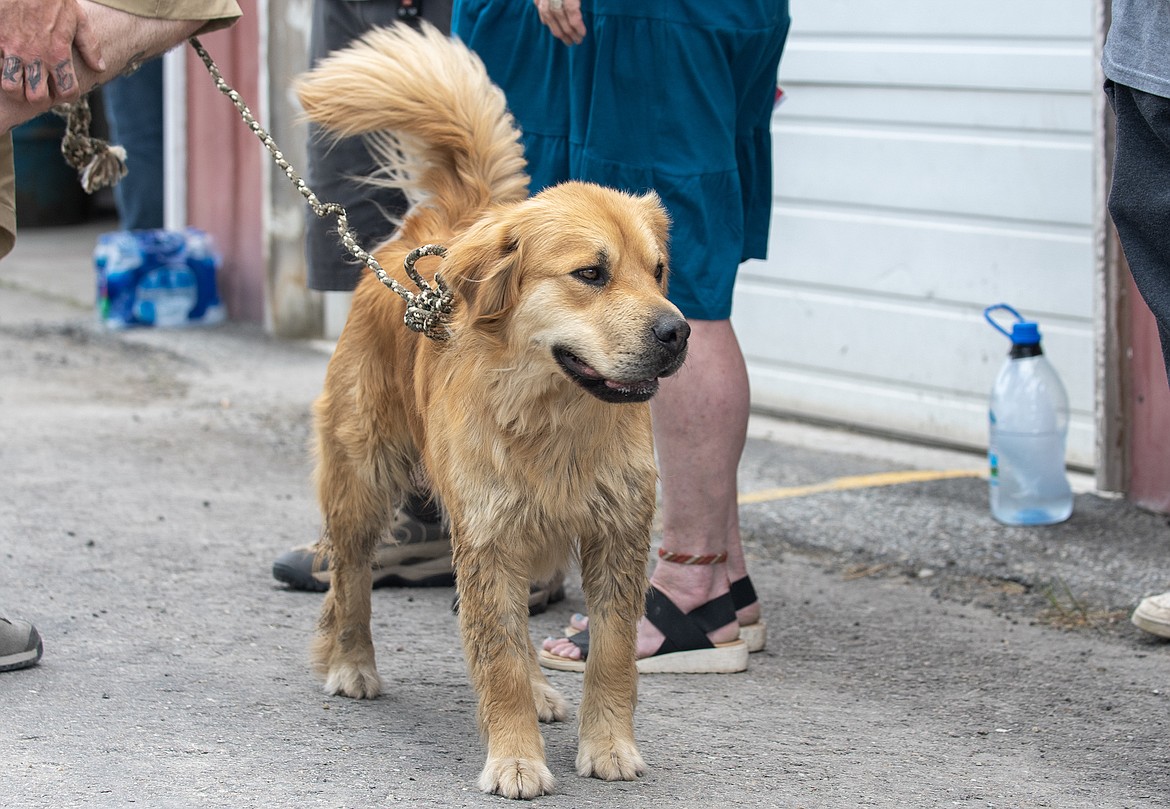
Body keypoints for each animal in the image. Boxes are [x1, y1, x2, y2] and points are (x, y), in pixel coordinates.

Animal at [294, 22, 683, 800]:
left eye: (656, 271)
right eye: (590, 273)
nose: (677, 332)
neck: (554, 420)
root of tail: (442, 222)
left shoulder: (615, 534)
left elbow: (612, 652)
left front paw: (608, 743)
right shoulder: (488, 537)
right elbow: (496, 659)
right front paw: (515, 758)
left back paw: (539, 692)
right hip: (362, 479)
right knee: (350, 577)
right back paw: (352, 661)